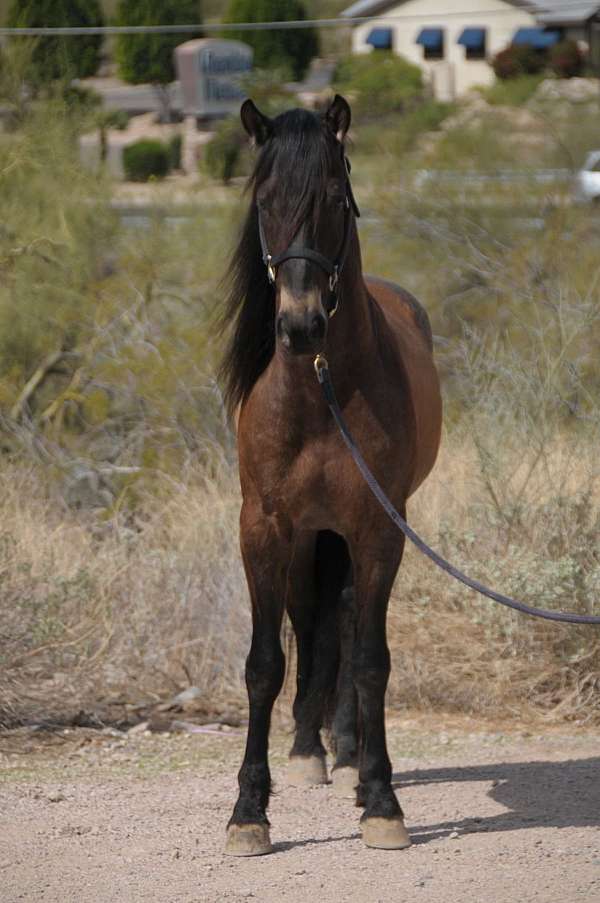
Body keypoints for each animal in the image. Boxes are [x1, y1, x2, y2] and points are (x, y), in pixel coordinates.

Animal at [220, 95, 440, 860]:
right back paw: (310, 749)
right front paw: (248, 813)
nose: (301, 325)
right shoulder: (264, 528)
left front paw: (381, 800)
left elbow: (371, 658)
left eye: (336, 202)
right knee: (310, 619)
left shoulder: (379, 529)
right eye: (264, 203)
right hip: (307, 538)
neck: (318, 395)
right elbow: (263, 663)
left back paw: (345, 752)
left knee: (341, 617)